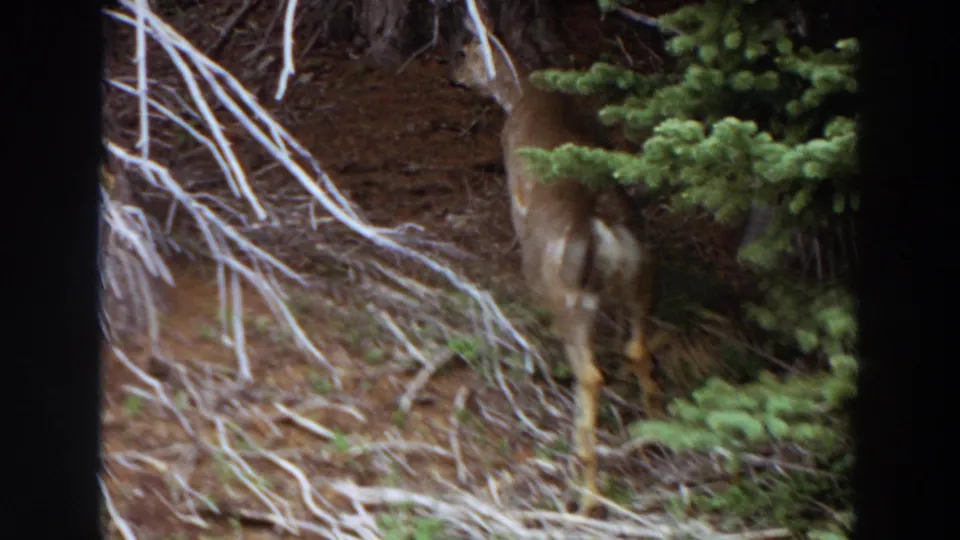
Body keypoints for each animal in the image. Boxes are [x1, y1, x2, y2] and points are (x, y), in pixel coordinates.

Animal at [452, 23, 664, 514]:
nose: (455, 78)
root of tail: (601, 225)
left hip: (568, 291)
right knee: (637, 347)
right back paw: (655, 433)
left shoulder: (516, 179)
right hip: (639, 276)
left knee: (590, 373)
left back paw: (586, 493)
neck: (521, 94)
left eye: (467, 51)